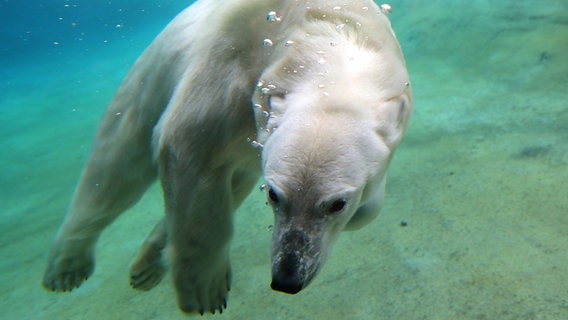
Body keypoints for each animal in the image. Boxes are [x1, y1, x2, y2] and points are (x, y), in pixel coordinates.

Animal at [41, 0, 412, 316]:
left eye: (337, 204)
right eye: (274, 195)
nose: (287, 279)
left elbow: (367, 209)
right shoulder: (231, 63)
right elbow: (187, 144)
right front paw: (204, 290)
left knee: (233, 182)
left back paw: (148, 265)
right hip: (150, 78)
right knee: (117, 169)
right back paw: (68, 266)